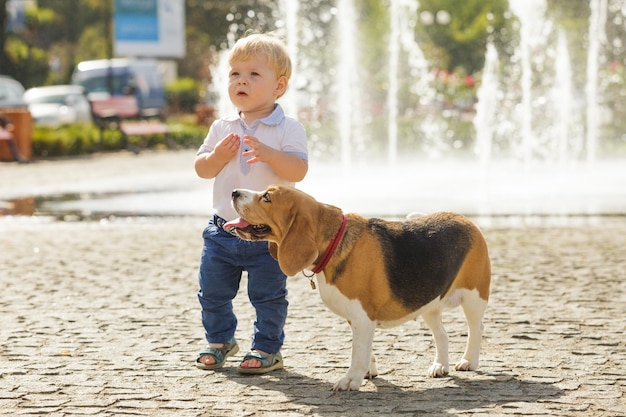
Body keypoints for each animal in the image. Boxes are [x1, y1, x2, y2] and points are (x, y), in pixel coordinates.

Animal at [222, 185, 490, 390]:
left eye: (267, 197)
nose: (234, 192)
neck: (334, 240)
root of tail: (466, 219)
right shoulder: (359, 319)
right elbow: (365, 348)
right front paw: (368, 371)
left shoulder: (362, 317)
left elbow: (357, 351)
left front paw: (351, 379)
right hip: (429, 304)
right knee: (442, 335)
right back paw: (440, 366)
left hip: (474, 298)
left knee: (476, 330)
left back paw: (469, 361)